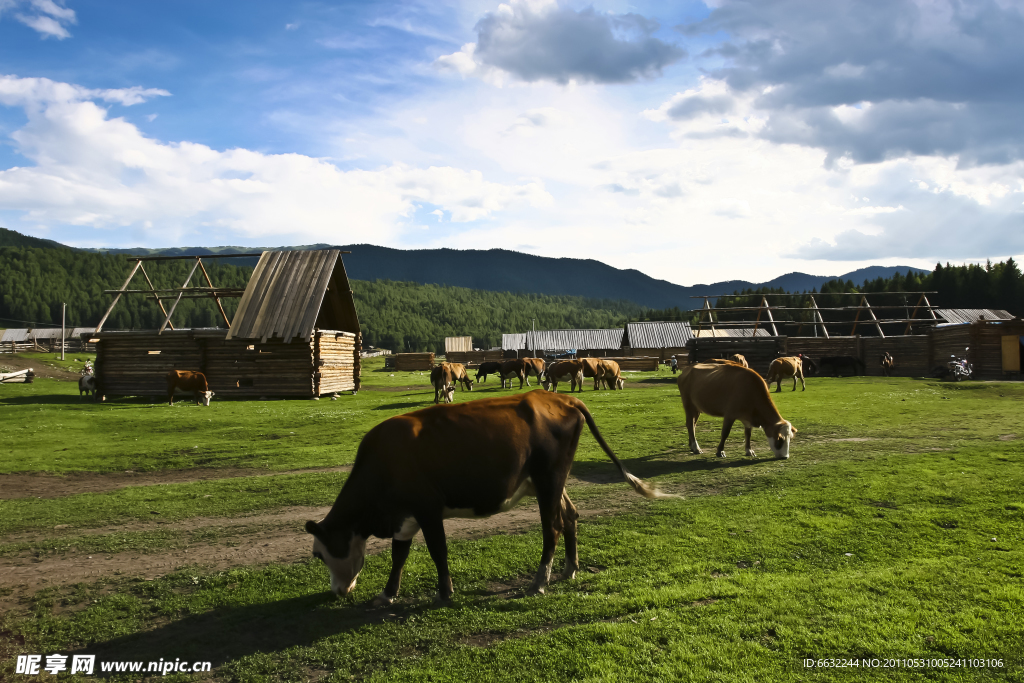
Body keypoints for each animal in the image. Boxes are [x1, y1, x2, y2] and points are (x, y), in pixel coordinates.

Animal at [303, 389, 671, 602]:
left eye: (319, 555)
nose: (336, 592)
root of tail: (559, 397)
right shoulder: (404, 516)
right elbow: (399, 555)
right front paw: (388, 594)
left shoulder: (428, 509)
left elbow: (438, 551)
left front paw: (445, 592)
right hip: (549, 481)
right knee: (570, 516)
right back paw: (570, 569)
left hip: (549, 479)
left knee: (551, 528)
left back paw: (539, 582)